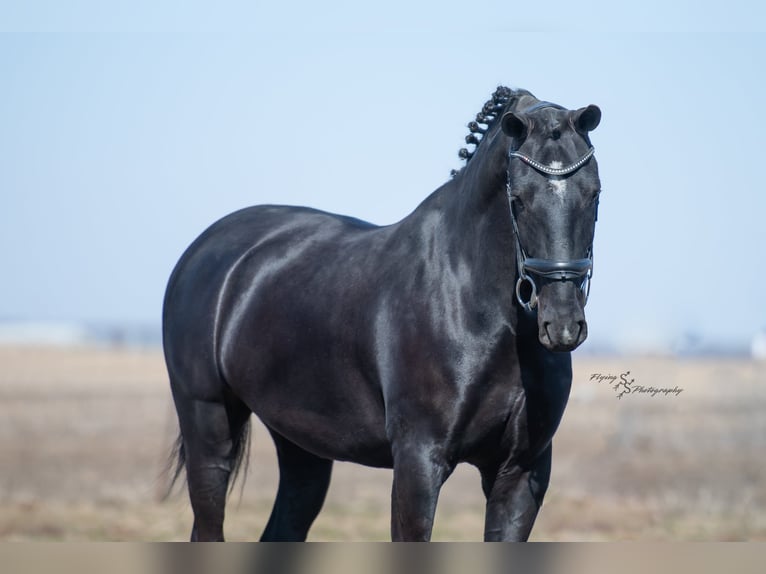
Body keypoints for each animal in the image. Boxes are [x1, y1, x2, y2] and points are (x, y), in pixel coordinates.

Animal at [162, 86, 602, 541]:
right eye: (518, 200)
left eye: (594, 194)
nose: (562, 324)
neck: (472, 305)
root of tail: (205, 250)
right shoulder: (418, 461)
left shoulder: (519, 472)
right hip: (208, 425)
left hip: (301, 446)